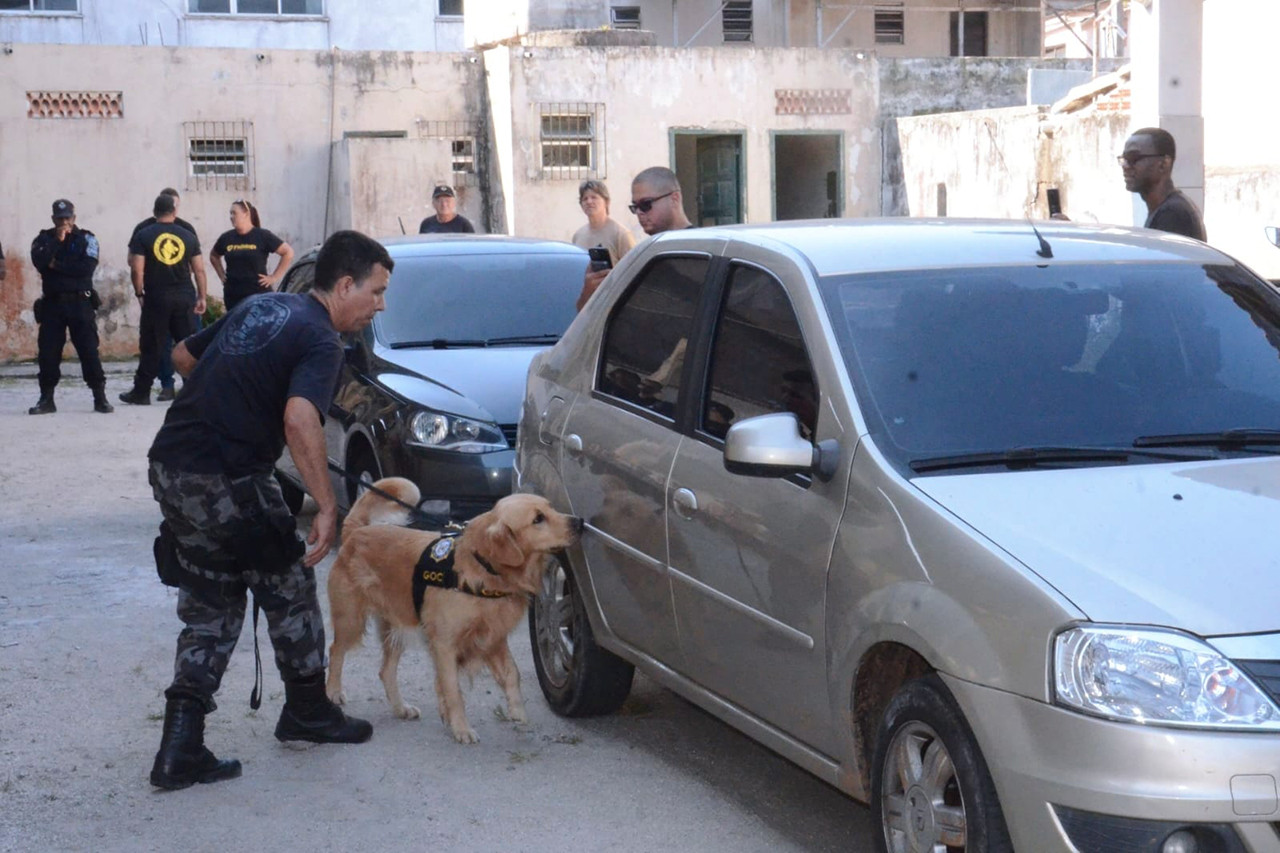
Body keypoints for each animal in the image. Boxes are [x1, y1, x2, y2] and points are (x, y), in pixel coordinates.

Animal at [322, 473, 583, 742]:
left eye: (551, 508)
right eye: (538, 519)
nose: (579, 522)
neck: (483, 568)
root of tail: (356, 531)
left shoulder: (493, 637)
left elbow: (512, 673)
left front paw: (517, 710)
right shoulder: (445, 644)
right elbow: (453, 689)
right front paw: (461, 728)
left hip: (396, 627)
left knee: (386, 671)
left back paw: (401, 708)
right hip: (351, 619)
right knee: (335, 650)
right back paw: (333, 691)